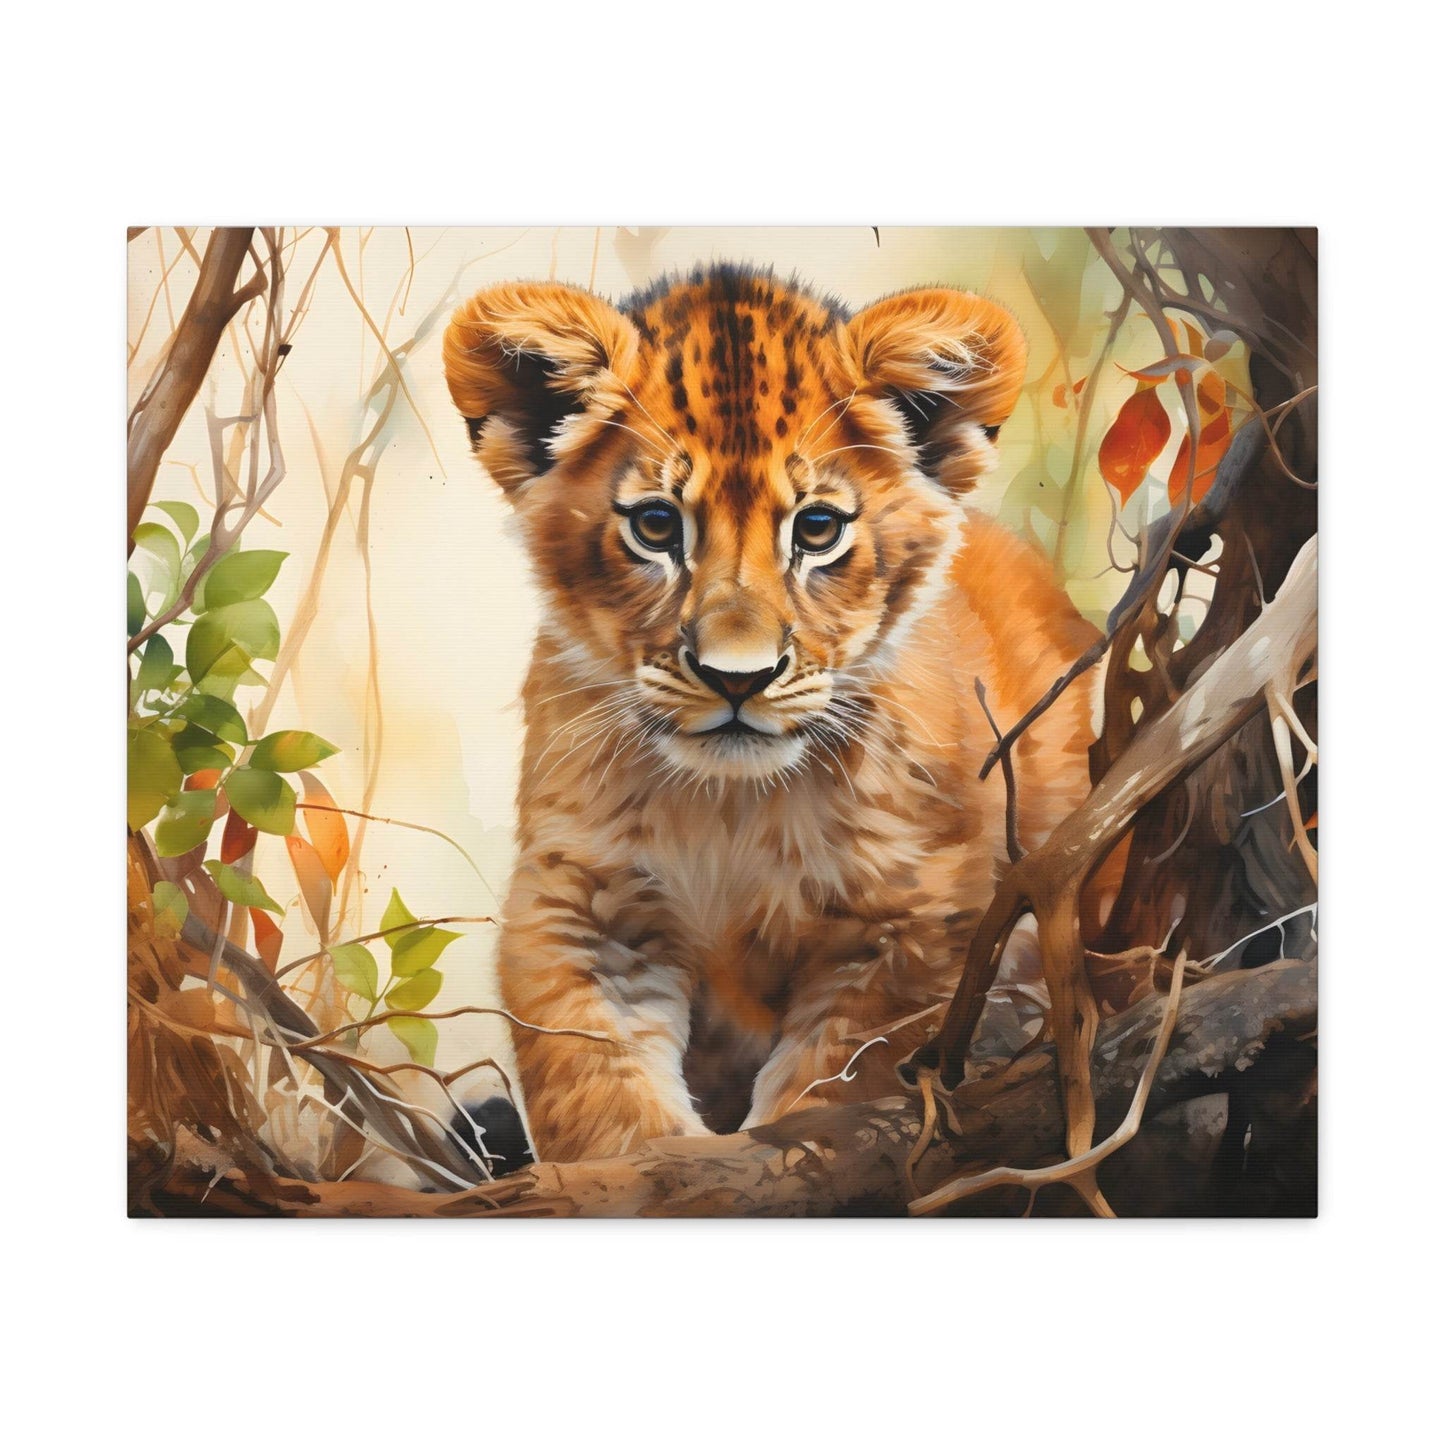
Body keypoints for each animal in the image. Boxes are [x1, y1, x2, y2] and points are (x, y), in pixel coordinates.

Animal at [442, 264, 1099, 1166]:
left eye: (816, 529)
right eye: (656, 525)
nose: (737, 679)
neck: (731, 809)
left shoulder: (911, 921)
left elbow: (836, 1089)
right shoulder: (581, 903)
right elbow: (597, 1091)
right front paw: (653, 1165)